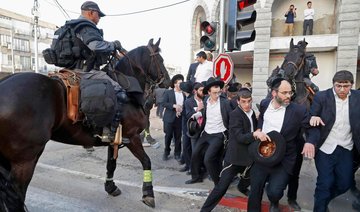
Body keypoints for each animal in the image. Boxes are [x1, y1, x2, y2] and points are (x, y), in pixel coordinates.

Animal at [0, 38, 170, 210]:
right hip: (25, 160)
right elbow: (146, 161)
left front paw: (111, 187)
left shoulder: (114, 140)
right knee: (15, 195)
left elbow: (111, 164)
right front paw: (148, 193)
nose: (168, 81)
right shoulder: (132, 136)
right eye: (161, 60)